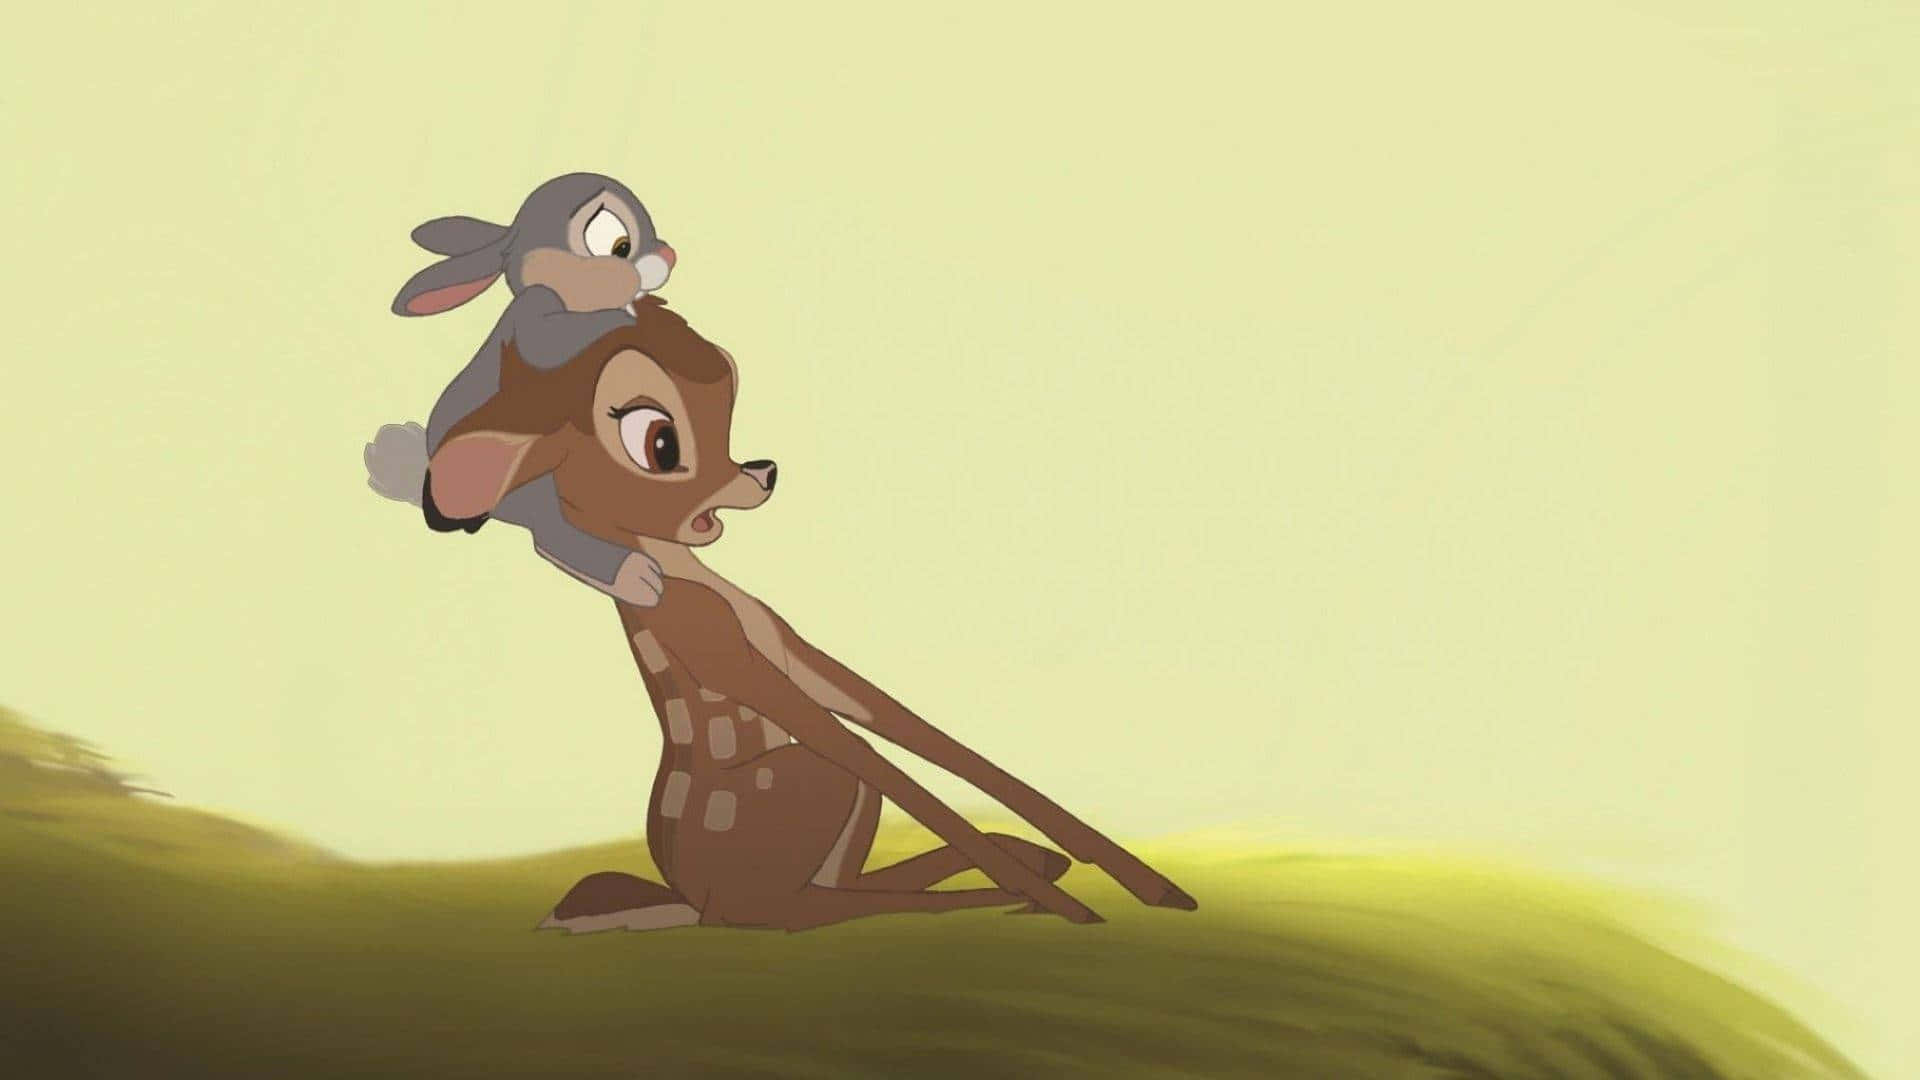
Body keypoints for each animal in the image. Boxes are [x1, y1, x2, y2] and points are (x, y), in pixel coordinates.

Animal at [426, 296, 1197, 932]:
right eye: (659, 442)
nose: (763, 471)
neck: (686, 574)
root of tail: (691, 897)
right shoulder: (735, 659)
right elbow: (886, 763)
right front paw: (1074, 907)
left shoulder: (790, 653)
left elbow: (925, 738)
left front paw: (1150, 884)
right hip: (801, 786)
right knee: (798, 909)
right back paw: (1003, 890)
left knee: (833, 891)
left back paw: (1030, 866)